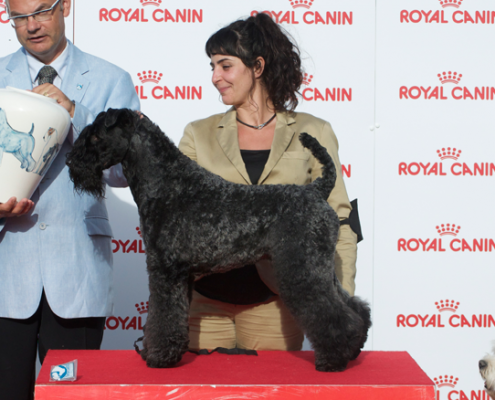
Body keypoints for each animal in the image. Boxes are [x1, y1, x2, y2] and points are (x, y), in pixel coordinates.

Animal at [66, 108, 370, 372]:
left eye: (96, 136)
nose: (70, 162)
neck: (167, 183)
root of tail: (316, 190)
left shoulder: (165, 270)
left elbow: (162, 315)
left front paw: (159, 357)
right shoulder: (180, 275)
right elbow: (171, 316)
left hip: (303, 268)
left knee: (332, 314)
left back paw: (333, 359)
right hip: (320, 267)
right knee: (353, 306)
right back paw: (355, 346)